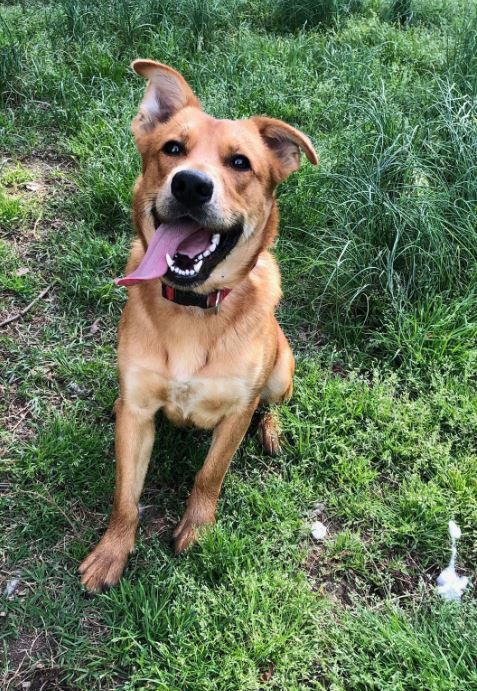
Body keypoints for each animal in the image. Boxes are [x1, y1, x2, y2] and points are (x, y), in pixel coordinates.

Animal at [80, 59, 318, 592]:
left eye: (240, 163)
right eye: (172, 149)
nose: (190, 185)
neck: (192, 308)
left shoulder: (234, 413)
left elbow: (209, 476)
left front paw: (197, 529)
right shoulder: (139, 411)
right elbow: (125, 497)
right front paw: (112, 551)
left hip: (281, 371)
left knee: (271, 406)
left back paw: (272, 432)